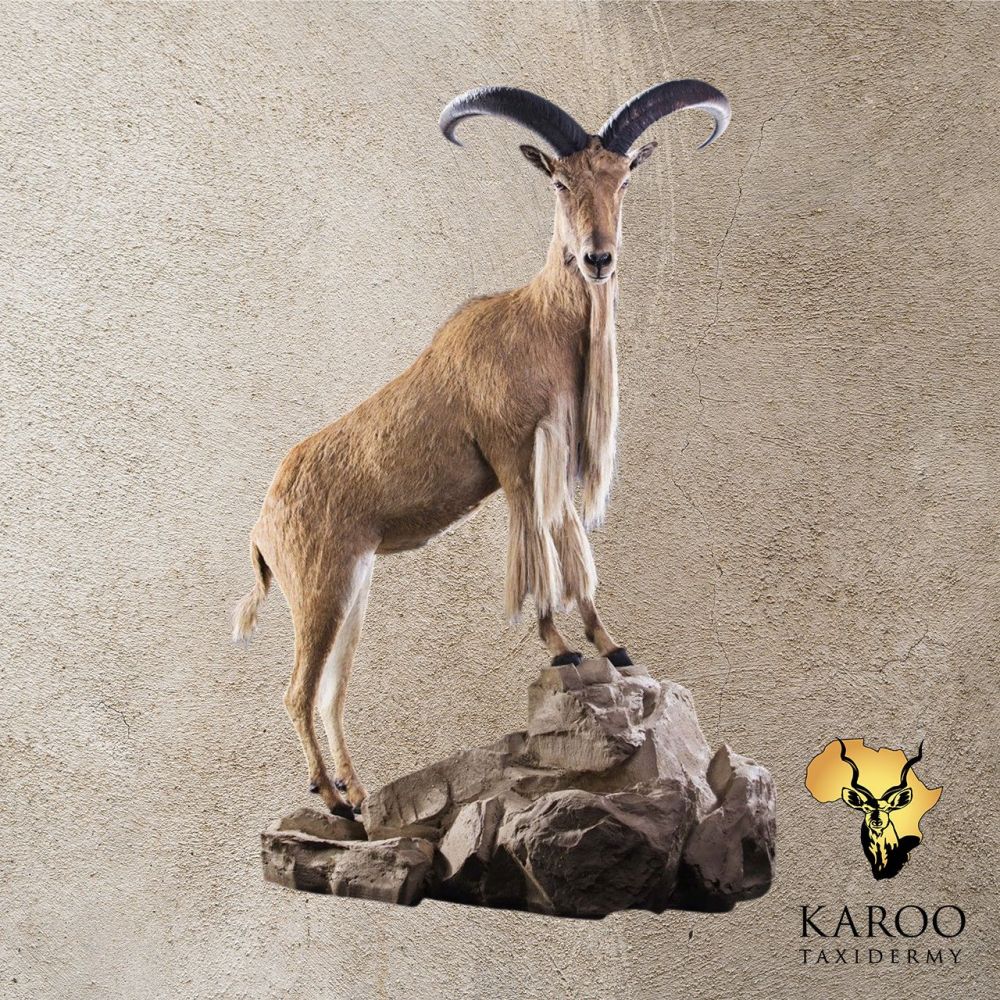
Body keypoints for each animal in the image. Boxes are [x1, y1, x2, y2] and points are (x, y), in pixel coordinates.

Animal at [233, 81, 731, 817]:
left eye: (623, 178)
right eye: (558, 180)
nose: (597, 258)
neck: (539, 324)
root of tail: (262, 525)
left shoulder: (555, 460)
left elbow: (571, 543)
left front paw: (612, 648)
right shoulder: (513, 456)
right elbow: (536, 549)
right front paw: (559, 649)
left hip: (352, 588)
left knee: (328, 694)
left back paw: (359, 793)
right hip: (318, 591)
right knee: (298, 692)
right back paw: (333, 799)